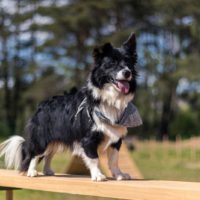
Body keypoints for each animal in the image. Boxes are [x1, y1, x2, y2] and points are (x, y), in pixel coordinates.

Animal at [0, 32, 141, 181]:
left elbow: (114, 160)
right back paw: (32, 172)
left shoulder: (116, 139)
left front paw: (119, 175)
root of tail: (42, 105)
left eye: (128, 63)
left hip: (56, 138)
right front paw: (97, 175)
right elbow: (94, 158)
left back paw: (47, 171)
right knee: (35, 153)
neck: (110, 99)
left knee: (49, 154)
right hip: (42, 137)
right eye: (112, 63)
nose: (127, 72)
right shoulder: (88, 139)